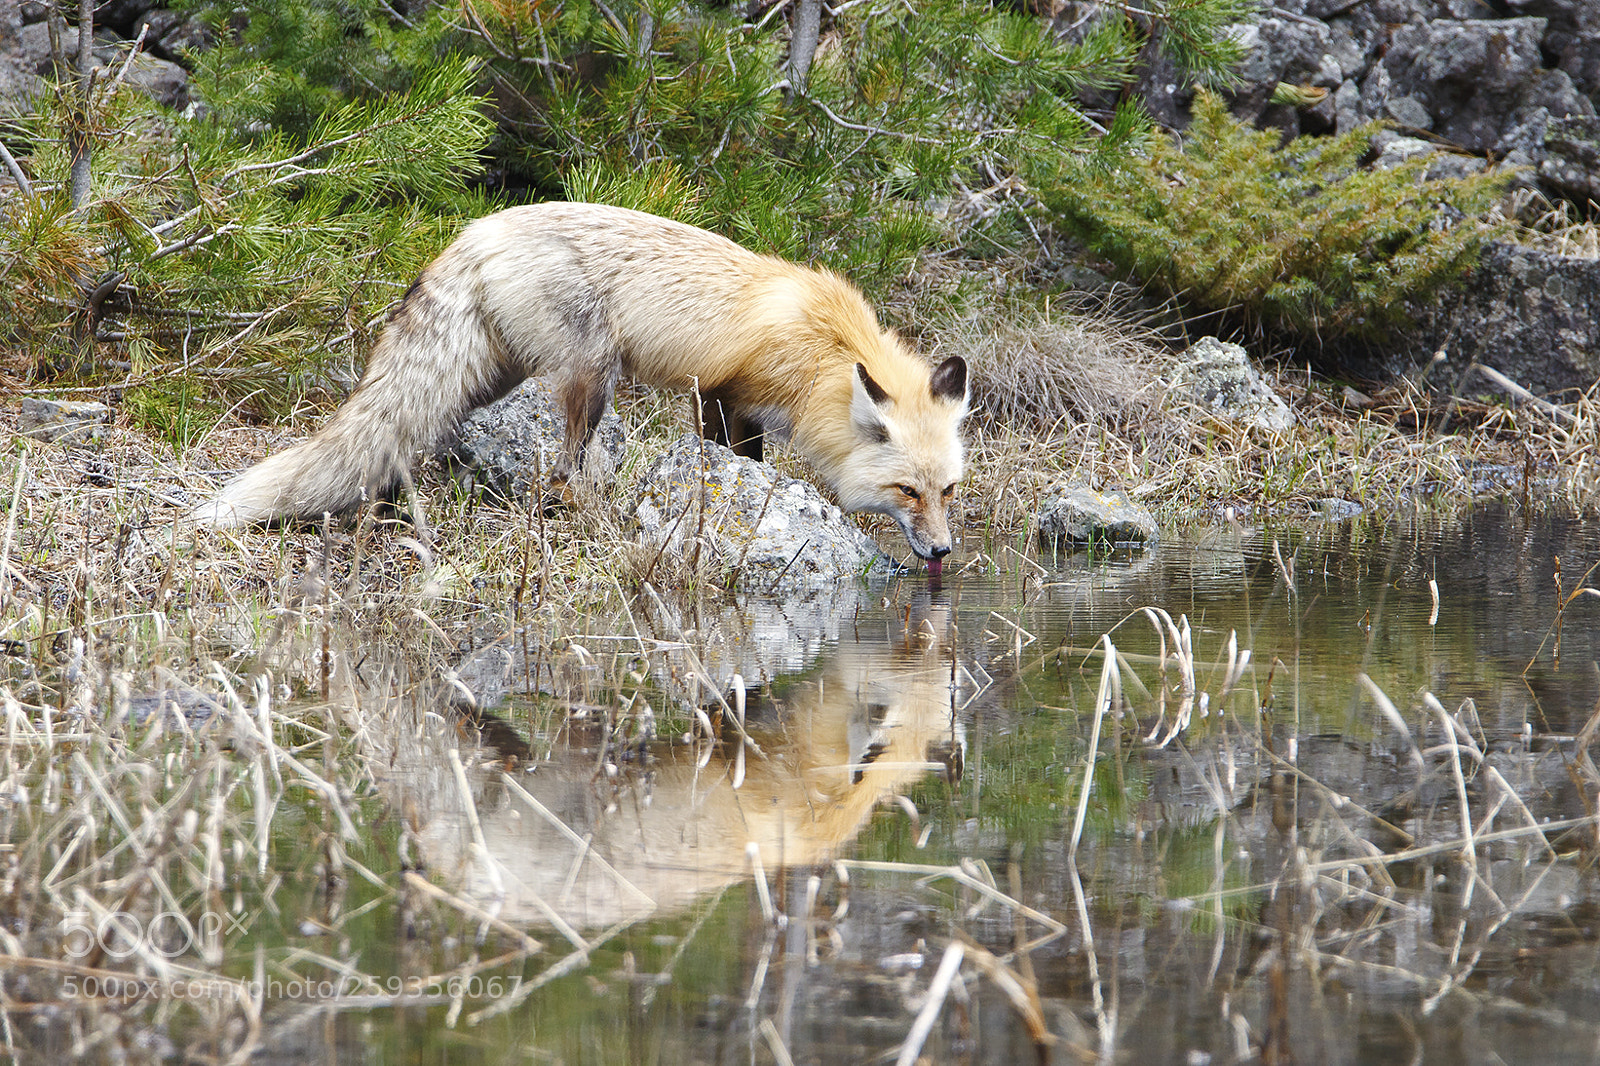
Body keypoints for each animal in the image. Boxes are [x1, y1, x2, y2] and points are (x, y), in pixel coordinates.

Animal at [186, 202, 971, 562]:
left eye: (949, 492)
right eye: (908, 491)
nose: (942, 554)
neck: (825, 347)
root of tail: (477, 229)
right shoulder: (723, 392)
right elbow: (732, 457)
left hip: (488, 380)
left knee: (399, 432)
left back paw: (385, 509)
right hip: (593, 378)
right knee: (561, 469)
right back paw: (583, 513)